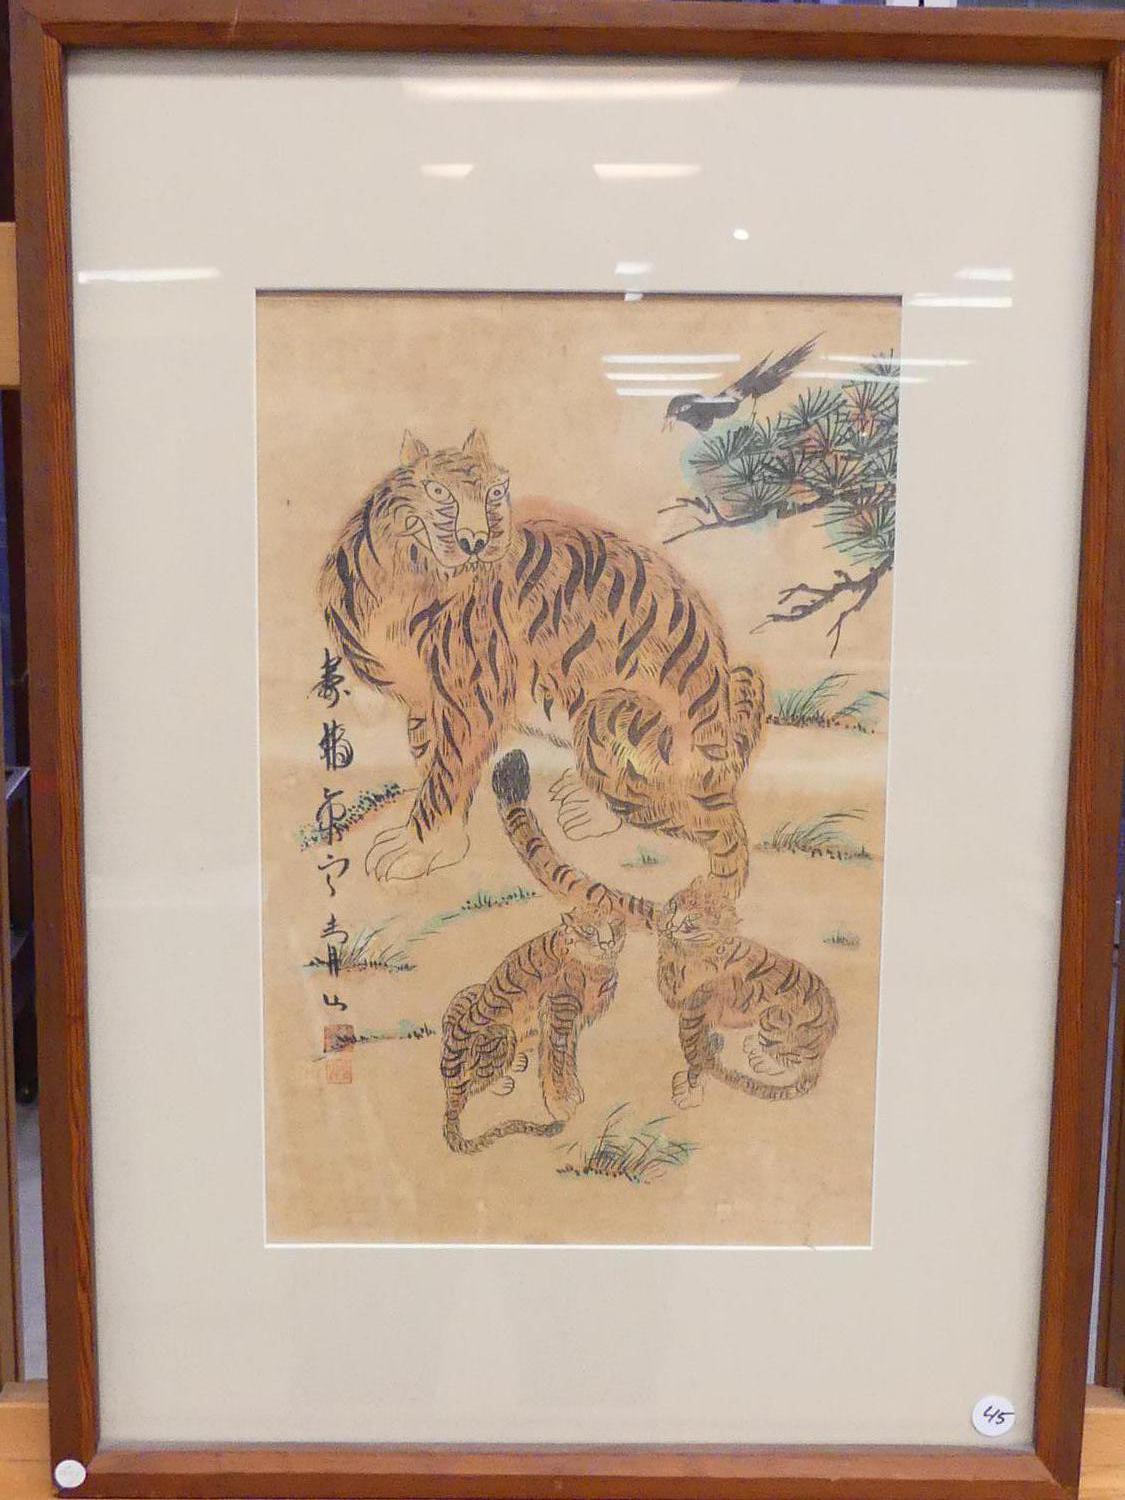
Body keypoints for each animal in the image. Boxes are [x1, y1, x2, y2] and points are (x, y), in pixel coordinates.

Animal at [319, 429, 766, 888]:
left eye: (495, 492)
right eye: (439, 491)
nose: (476, 541)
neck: (406, 574)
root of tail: (721, 748)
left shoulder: (470, 701)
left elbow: (445, 777)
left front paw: (420, 849)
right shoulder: (425, 699)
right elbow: (432, 763)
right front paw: (445, 840)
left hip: (609, 711)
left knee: (657, 802)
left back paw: (589, 809)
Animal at [441, 905, 626, 1153]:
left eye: (614, 923)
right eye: (589, 929)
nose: (607, 942)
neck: (596, 962)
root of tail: (449, 1078)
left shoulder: (572, 1023)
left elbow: (567, 1058)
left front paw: (573, 1093)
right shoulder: (559, 1013)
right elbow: (555, 1062)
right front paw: (562, 1105)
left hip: (471, 991)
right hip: (502, 1033)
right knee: (471, 1088)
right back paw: (501, 1081)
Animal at [490, 749, 839, 1109]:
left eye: (691, 923)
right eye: (674, 906)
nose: (670, 925)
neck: (685, 951)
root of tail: (825, 1041)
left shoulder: (695, 1012)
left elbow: (697, 1054)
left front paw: (690, 1092)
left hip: (777, 1019)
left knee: (787, 1055)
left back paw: (760, 1056)